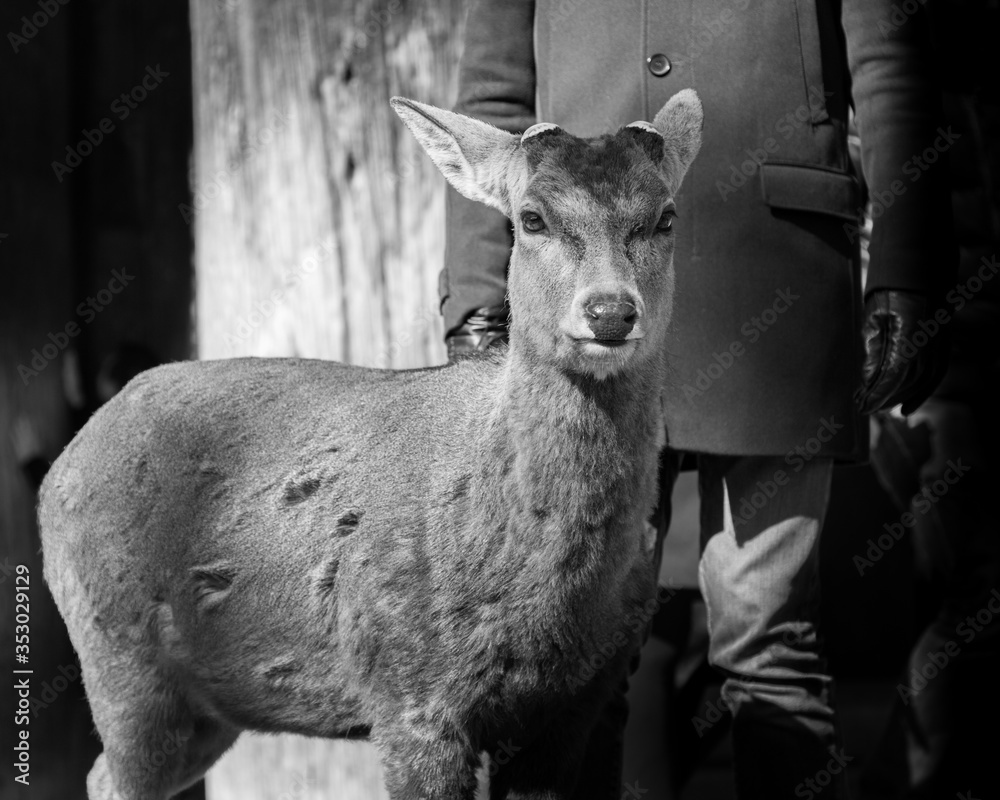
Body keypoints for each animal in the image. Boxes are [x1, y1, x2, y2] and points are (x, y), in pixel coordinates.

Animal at [39, 89, 703, 800]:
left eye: (666, 217)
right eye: (531, 219)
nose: (610, 312)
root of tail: (64, 463)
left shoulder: (580, 700)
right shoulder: (405, 685)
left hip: (211, 702)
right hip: (117, 654)